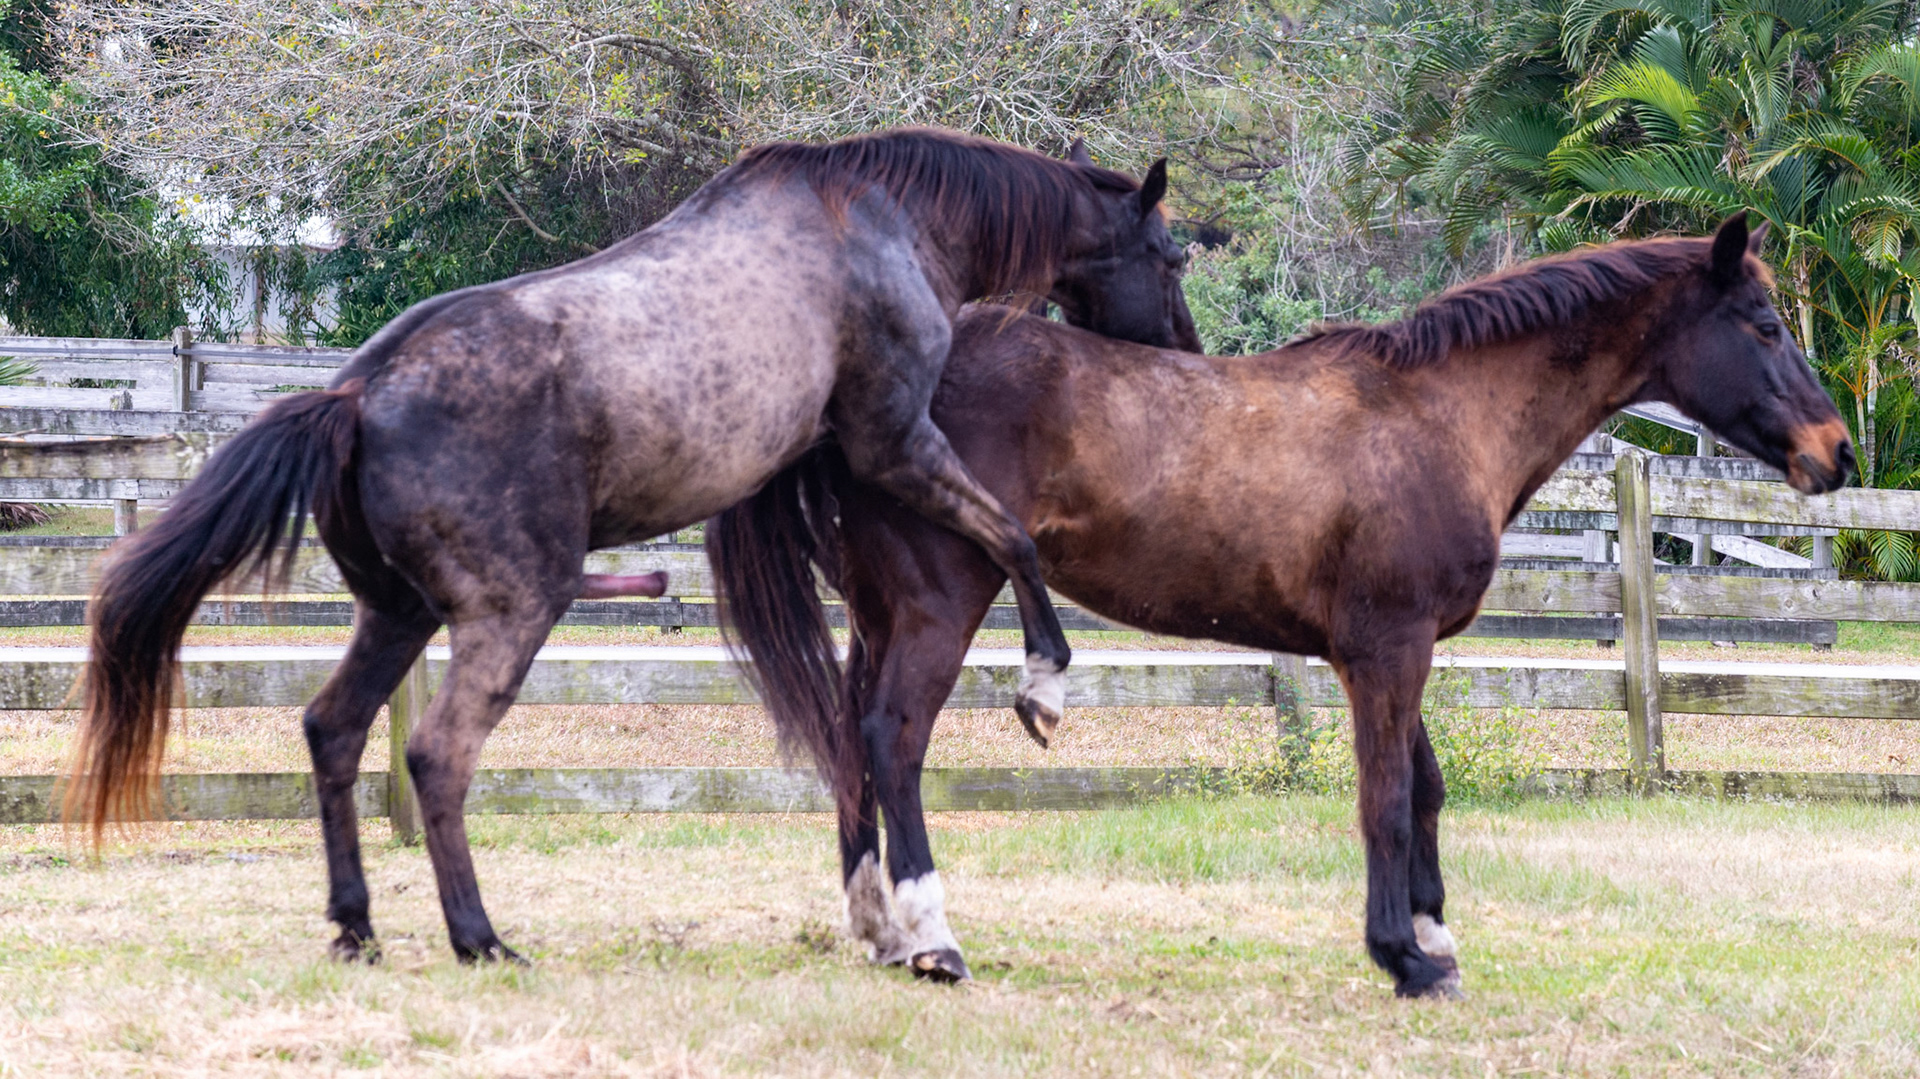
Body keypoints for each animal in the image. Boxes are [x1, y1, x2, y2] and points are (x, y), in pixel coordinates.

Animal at [70, 128, 1203, 965]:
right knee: (436, 755)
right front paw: (1044, 685)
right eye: (1170, 255)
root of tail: (357, 394)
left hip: (397, 612)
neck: (880, 224)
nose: (1188, 352)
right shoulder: (896, 440)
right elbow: (1014, 543)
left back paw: (358, 927)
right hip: (508, 614)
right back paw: (480, 937)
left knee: (335, 730)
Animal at [710, 213, 1854, 991]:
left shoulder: (1389, 648)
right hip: (939, 606)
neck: (1438, 415)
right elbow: (1385, 797)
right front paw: (1402, 955)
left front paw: (1432, 935)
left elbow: (1426, 789)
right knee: (893, 739)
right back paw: (931, 936)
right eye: (1763, 322)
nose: (1835, 452)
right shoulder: (1388, 649)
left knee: (852, 744)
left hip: (879, 611)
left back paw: (875, 927)